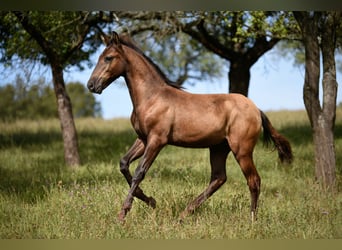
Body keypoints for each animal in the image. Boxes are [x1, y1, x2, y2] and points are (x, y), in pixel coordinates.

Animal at [87, 31, 292, 223]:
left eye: (108, 58)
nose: (91, 85)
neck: (151, 97)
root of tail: (256, 109)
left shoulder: (157, 140)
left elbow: (139, 172)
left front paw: (123, 214)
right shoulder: (143, 139)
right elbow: (124, 164)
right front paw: (151, 201)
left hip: (241, 149)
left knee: (253, 180)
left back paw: (251, 219)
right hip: (219, 148)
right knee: (218, 178)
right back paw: (184, 214)